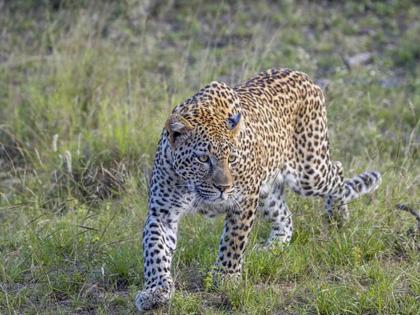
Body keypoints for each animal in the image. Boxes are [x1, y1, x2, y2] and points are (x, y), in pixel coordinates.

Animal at [135, 68, 380, 312]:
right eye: (203, 159)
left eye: (232, 159)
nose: (223, 188)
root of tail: (303, 75)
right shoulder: (162, 212)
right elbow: (155, 250)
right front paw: (155, 290)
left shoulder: (244, 199)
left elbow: (233, 240)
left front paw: (225, 277)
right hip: (268, 191)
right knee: (286, 218)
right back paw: (272, 247)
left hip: (309, 172)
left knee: (337, 169)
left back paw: (338, 216)